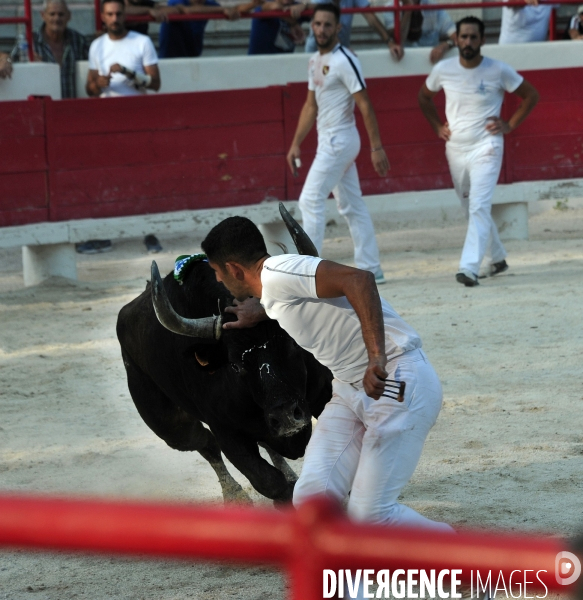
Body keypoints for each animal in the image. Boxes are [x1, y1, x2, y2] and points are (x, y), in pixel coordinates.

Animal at [116, 258, 334, 506]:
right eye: (235, 365)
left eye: (294, 345)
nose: (286, 417)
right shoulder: (226, 432)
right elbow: (267, 481)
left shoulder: (324, 392)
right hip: (172, 427)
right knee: (205, 444)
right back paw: (235, 494)